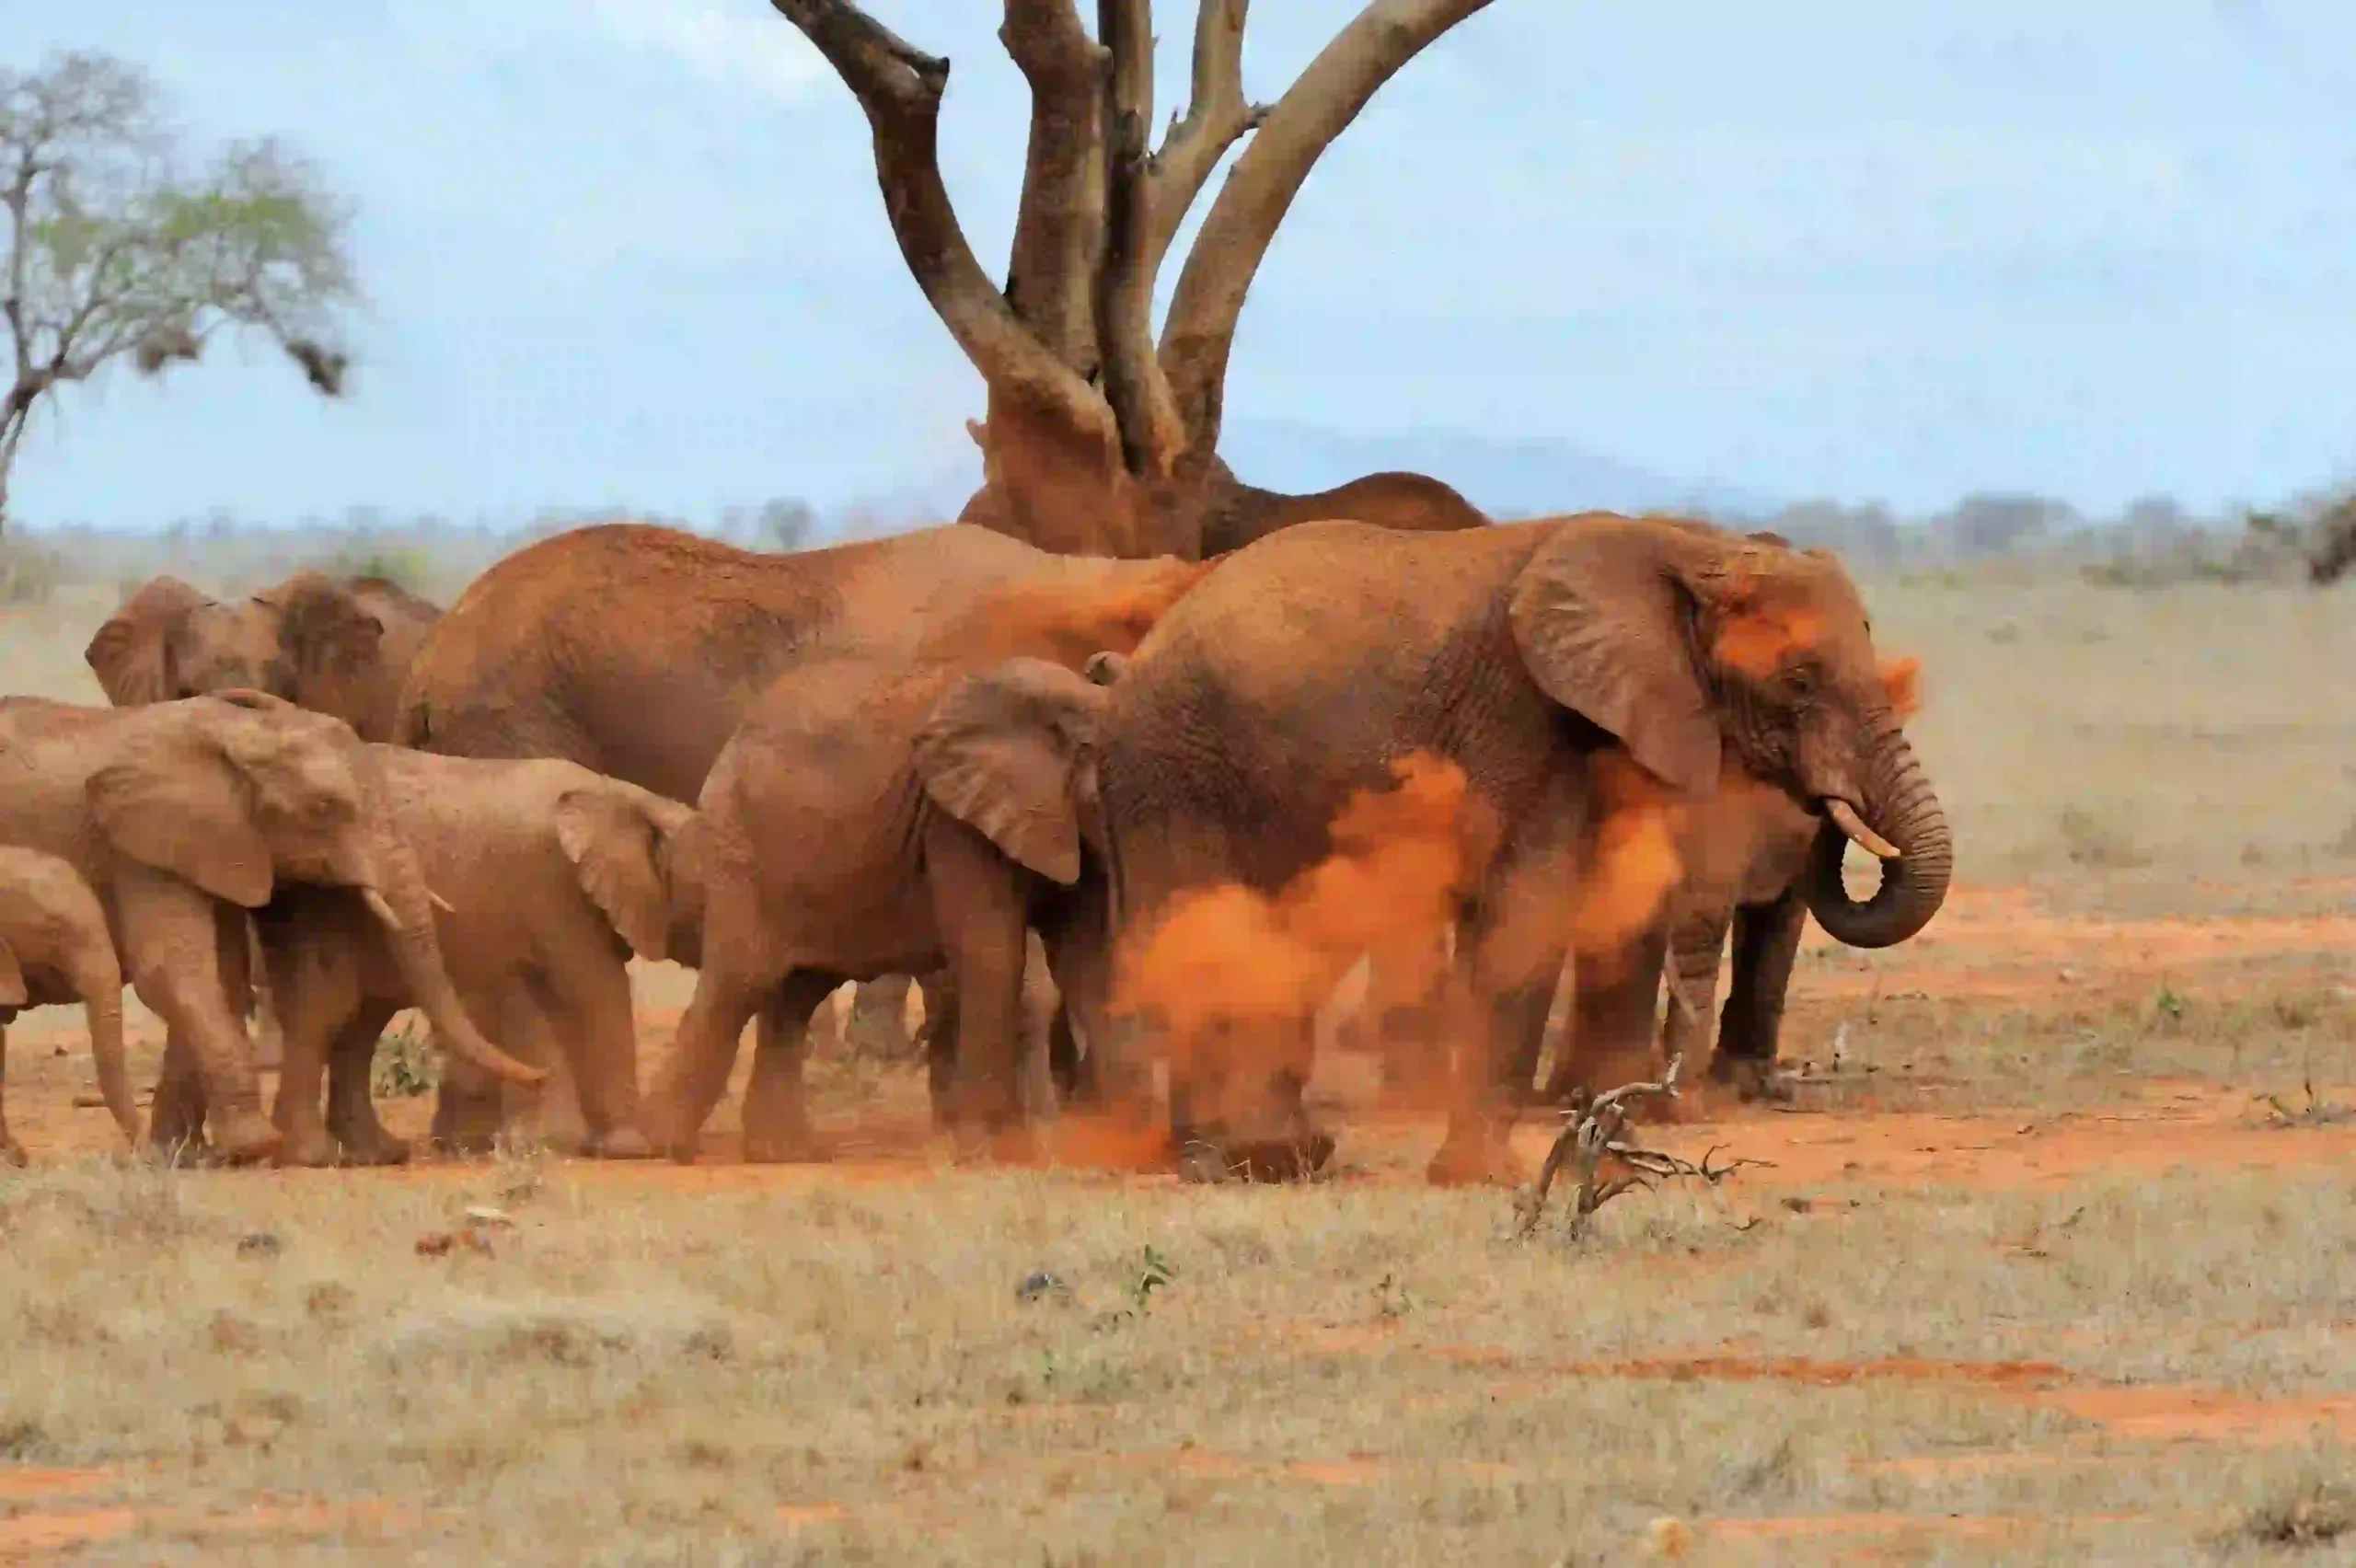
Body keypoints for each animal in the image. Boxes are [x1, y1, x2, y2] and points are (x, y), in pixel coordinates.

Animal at [242, 749, 706, 1166]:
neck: (629, 797)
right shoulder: (559, 893)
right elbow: (595, 989)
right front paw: (629, 1149)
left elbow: (559, 1003)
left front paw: (569, 1144)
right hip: (324, 903)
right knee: (326, 1010)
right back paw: (320, 1154)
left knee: (361, 1021)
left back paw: (375, 1154)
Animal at [1086, 514, 1953, 1186]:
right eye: (1800, 681)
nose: (1831, 807)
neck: (1685, 548)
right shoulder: (1526, 727)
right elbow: (1528, 915)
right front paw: (1481, 1175)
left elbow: (1615, 919)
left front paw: (1607, 1156)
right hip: (1172, 768)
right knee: (1199, 936)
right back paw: (1228, 1161)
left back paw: (1269, 1156)